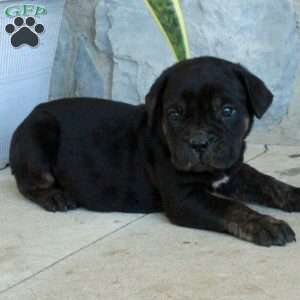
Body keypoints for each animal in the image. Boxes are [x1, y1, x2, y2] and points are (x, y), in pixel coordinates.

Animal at [9, 56, 300, 246]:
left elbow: (267, 182)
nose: (198, 142)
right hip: (38, 133)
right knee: (29, 183)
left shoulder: (233, 170)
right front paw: (265, 224)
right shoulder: (186, 198)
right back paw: (55, 197)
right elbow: (231, 207)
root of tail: (31, 113)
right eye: (174, 115)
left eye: (227, 111)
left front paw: (294, 194)